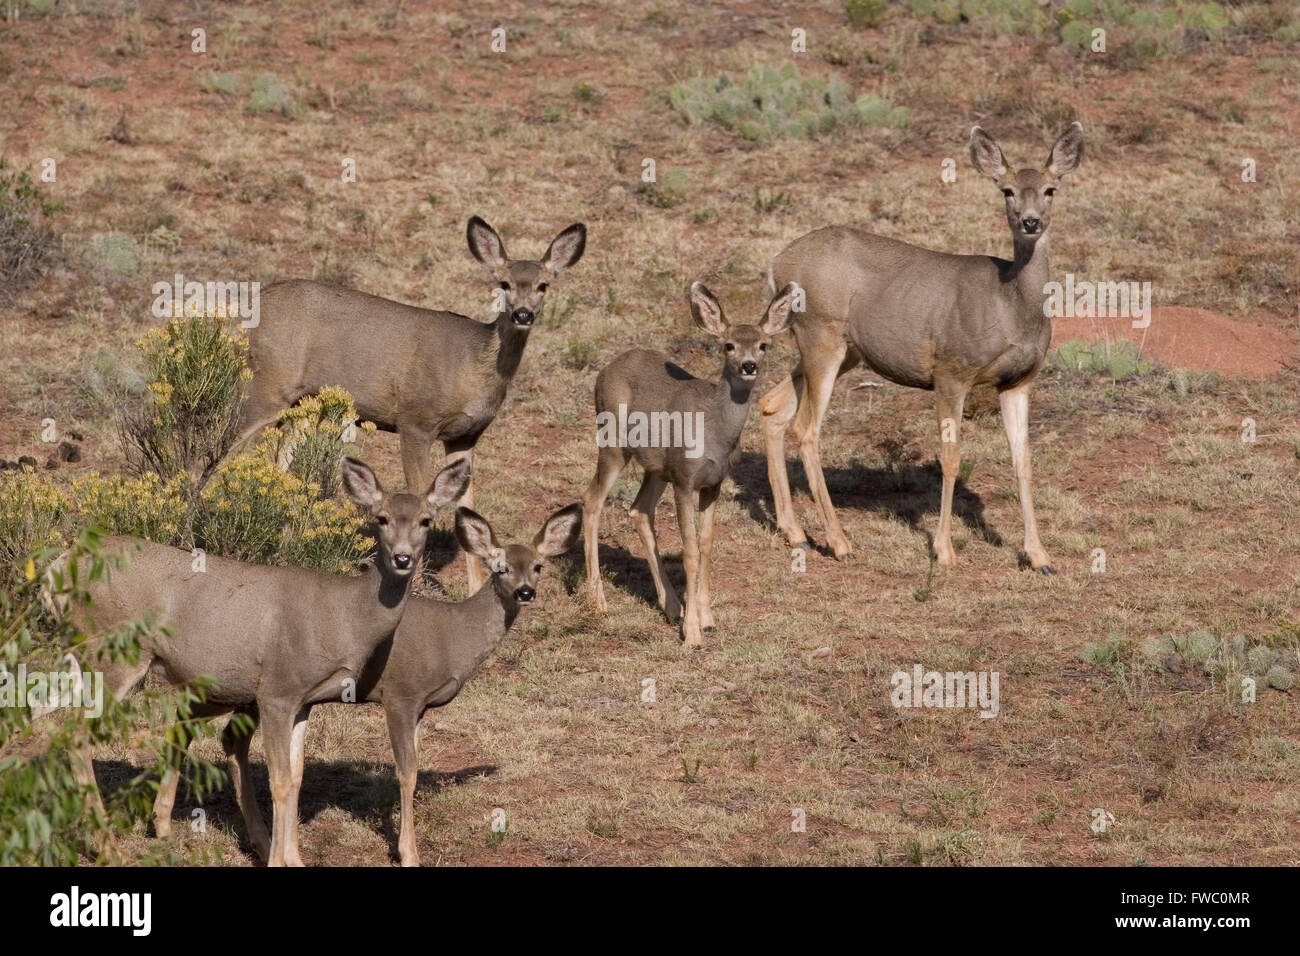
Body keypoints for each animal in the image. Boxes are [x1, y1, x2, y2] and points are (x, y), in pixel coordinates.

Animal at [46, 456, 470, 866]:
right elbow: (279, 780)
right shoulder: (277, 690)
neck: (344, 615)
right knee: (75, 735)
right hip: (115, 655)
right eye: (380, 518)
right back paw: (110, 849)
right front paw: (279, 860)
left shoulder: (304, 700)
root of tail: (60, 565)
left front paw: (294, 858)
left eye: (425, 520)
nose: (403, 558)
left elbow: (296, 776)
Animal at [152, 503, 583, 866]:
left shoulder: (421, 707)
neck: (454, 637)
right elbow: (407, 773)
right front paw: (409, 854)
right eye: (500, 567)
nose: (526, 592)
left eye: (539, 566)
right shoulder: (401, 694)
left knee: (218, 735)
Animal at [234, 216, 586, 590]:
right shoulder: (416, 421)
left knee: (279, 461)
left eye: (543, 285)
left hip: (302, 403)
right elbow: (422, 496)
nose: (522, 314)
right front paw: (411, 580)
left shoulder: (465, 436)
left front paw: (476, 587)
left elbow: (466, 505)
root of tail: (255, 303)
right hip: (267, 384)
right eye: (503, 283)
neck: (473, 366)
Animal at [583, 281, 796, 646]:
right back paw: (598, 601)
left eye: (763, 345)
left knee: (639, 509)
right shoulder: (684, 479)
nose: (749, 365)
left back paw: (671, 605)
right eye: (728, 345)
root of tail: (605, 370)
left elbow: (707, 545)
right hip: (613, 442)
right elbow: (690, 551)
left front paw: (706, 619)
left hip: (656, 467)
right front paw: (693, 634)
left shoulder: (713, 483)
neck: (713, 432)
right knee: (591, 500)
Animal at [758, 122, 1084, 574]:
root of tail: (775, 264)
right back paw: (840, 542)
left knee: (773, 405)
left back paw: (797, 534)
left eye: (1051, 188)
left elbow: (1023, 461)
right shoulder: (951, 371)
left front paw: (1040, 556)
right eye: (1007, 190)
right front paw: (943, 551)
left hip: (842, 350)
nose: (1030, 221)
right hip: (820, 334)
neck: (1011, 305)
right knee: (806, 428)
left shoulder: (1019, 381)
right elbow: (950, 459)